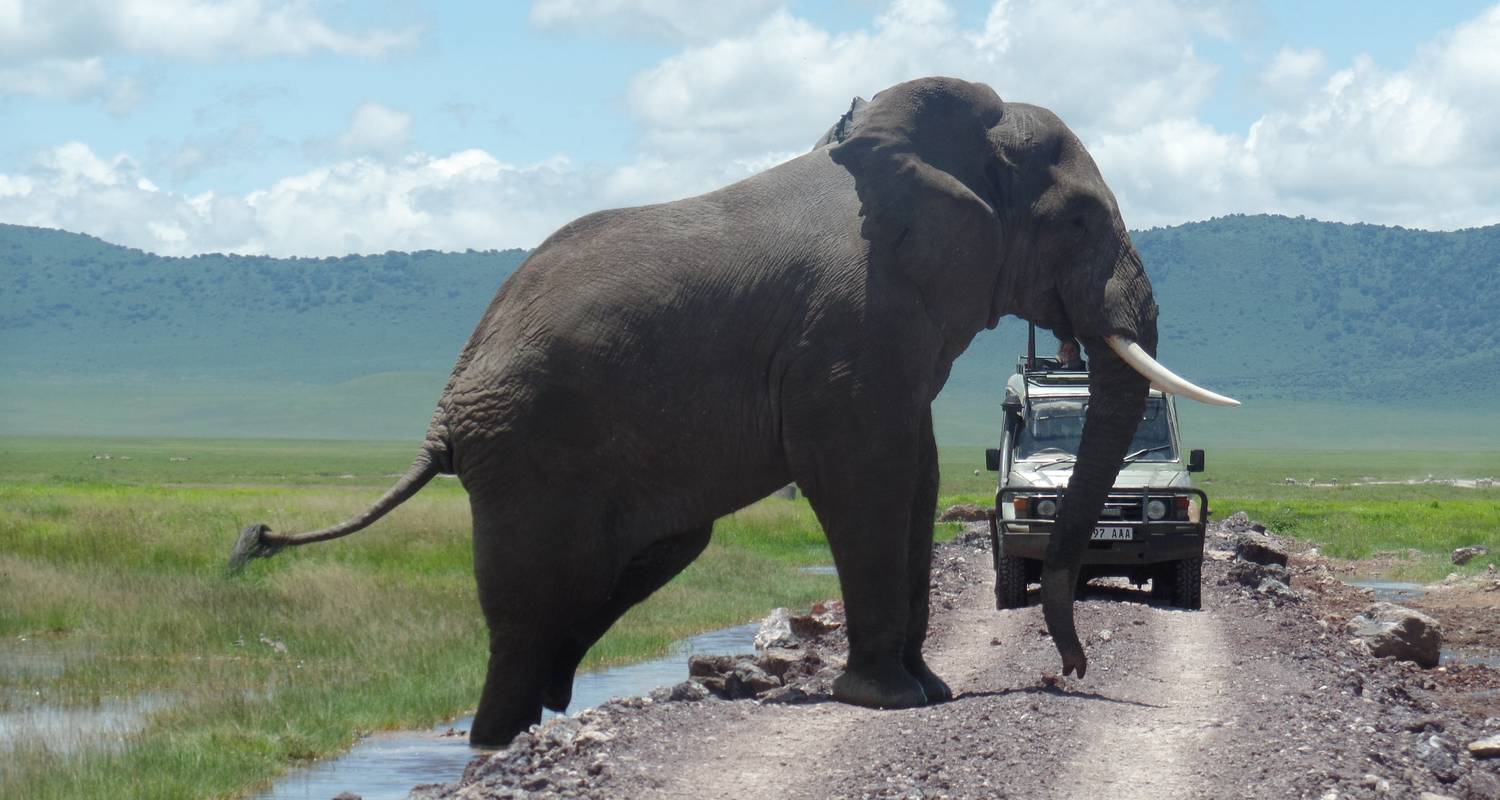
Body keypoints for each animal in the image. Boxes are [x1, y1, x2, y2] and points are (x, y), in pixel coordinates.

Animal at [228, 78, 1236, 744]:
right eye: (1078, 222)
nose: (1070, 669)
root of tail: (448, 406)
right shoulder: (850, 330)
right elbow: (865, 474)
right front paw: (894, 703)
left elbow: (915, 475)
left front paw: (932, 691)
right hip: (529, 458)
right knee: (524, 609)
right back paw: (499, 746)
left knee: (614, 578)